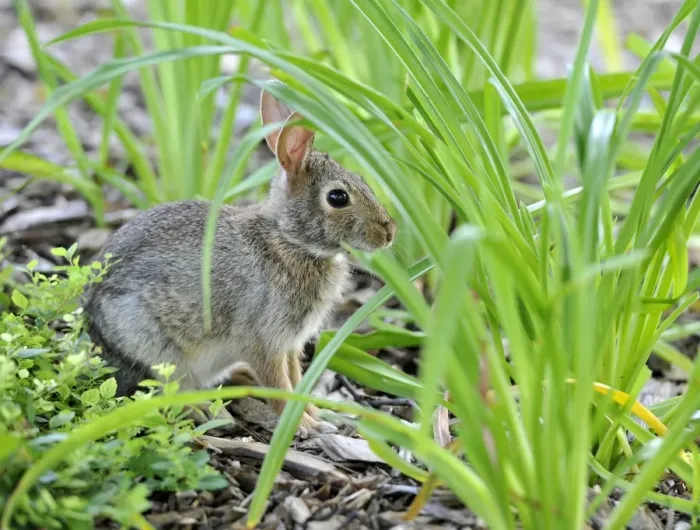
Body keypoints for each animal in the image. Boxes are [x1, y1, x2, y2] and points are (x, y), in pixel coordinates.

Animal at [84, 83, 397, 435]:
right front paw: (303, 425)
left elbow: (295, 378)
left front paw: (315, 414)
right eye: (338, 197)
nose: (389, 232)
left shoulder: (290, 344)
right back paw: (201, 408)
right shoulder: (263, 340)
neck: (289, 240)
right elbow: (280, 385)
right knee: (163, 389)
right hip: (154, 346)